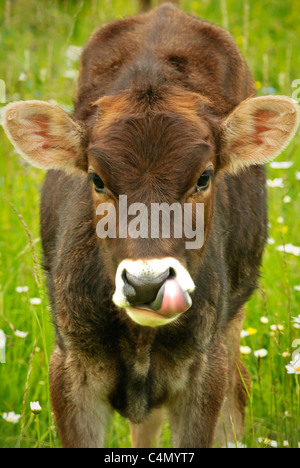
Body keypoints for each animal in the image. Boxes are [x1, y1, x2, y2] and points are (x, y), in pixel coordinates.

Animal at [2, 4, 300, 450]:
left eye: (204, 177)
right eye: (97, 179)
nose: (147, 283)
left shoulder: (204, 369)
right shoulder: (70, 366)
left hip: (233, 319)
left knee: (237, 394)